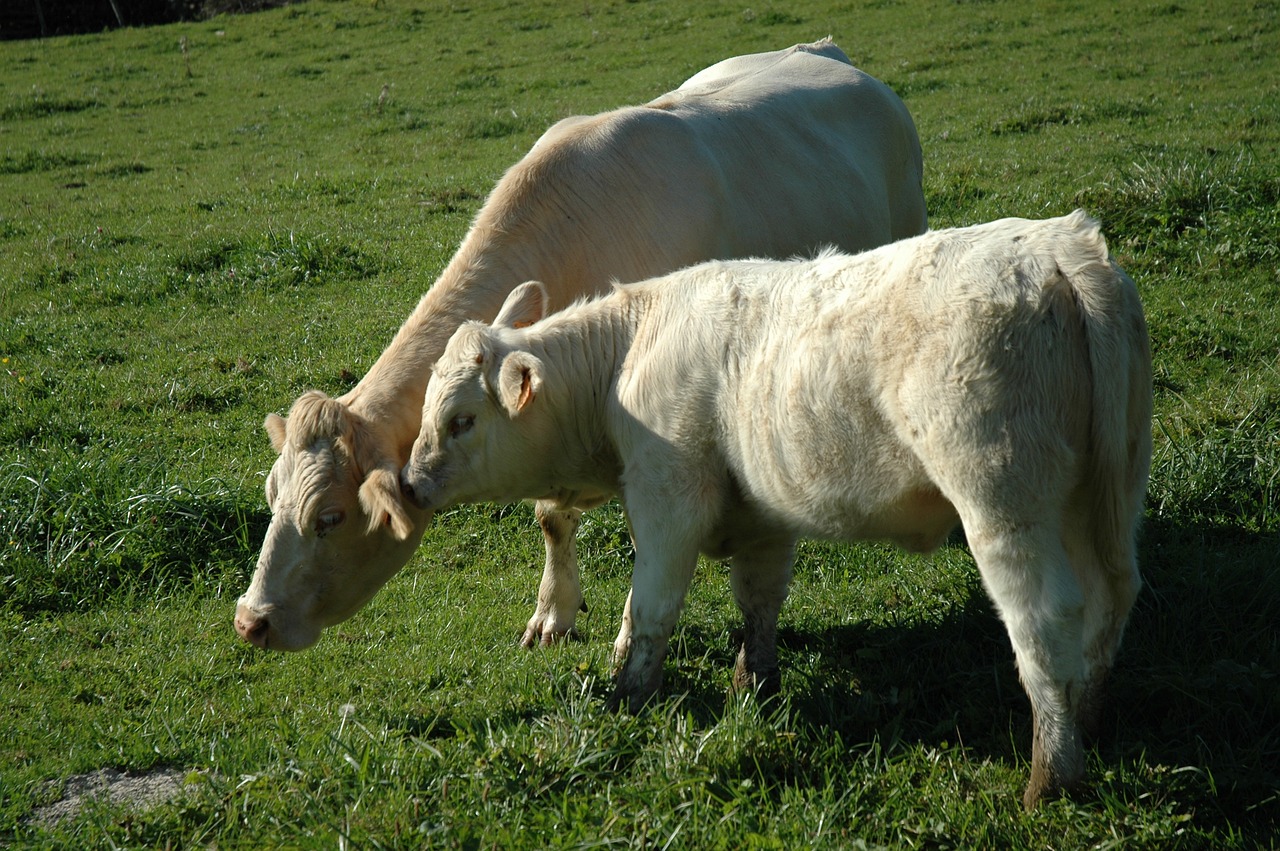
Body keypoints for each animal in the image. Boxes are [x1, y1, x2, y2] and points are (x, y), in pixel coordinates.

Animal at [232, 38, 931, 650]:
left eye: (330, 518)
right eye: (269, 497)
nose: (249, 622)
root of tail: (825, 51)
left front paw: (624, 633)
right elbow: (550, 518)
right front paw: (553, 614)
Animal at [401, 208, 1162, 808]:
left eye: (462, 419)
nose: (410, 482)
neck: (626, 353)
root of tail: (1062, 248)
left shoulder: (668, 496)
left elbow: (649, 609)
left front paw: (628, 694)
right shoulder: (762, 510)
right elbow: (759, 599)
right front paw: (753, 684)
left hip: (1004, 498)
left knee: (1044, 621)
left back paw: (1051, 773)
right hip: (1106, 494)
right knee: (1112, 595)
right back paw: (1090, 718)